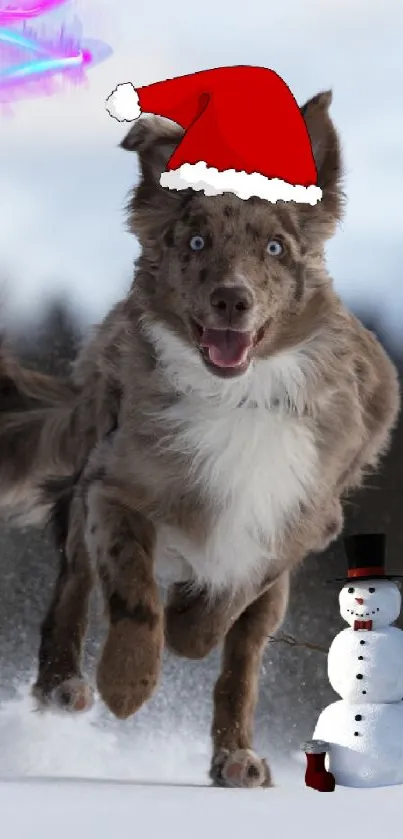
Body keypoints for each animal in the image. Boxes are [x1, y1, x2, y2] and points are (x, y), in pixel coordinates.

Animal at [0, 92, 400, 788]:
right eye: (194, 240)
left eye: (275, 247)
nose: (231, 300)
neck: (236, 394)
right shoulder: (114, 487)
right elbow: (133, 594)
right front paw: (126, 682)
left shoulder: (296, 521)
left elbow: (228, 603)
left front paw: (189, 625)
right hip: (85, 485)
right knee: (73, 587)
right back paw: (64, 685)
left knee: (241, 666)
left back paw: (236, 756)